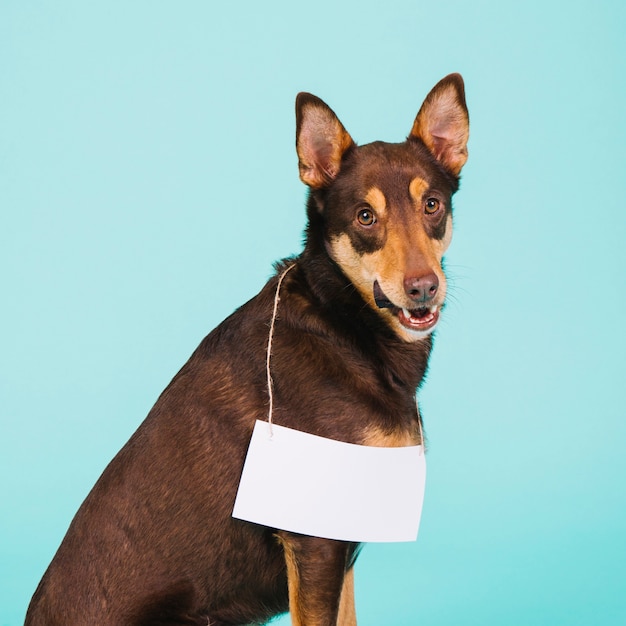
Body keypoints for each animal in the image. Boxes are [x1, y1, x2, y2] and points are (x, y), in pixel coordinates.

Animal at [24, 74, 466, 624]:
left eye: (433, 205)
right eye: (365, 216)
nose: (423, 288)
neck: (342, 322)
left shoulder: (340, 548)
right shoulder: (316, 543)